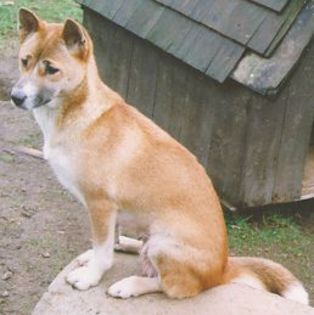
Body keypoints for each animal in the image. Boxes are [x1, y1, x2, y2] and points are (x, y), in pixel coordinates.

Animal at [11, 7, 310, 304]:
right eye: (24, 61)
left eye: (51, 69)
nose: (15, 97)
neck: (80, 112)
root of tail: (223, 268)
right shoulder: (108, 212)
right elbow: (106, 243)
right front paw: (96, 255)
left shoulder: (100, 205)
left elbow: (104, 252)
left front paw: (90, 277)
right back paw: (126, 246)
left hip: (163, 245)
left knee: (170, 286)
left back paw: (130, 285)